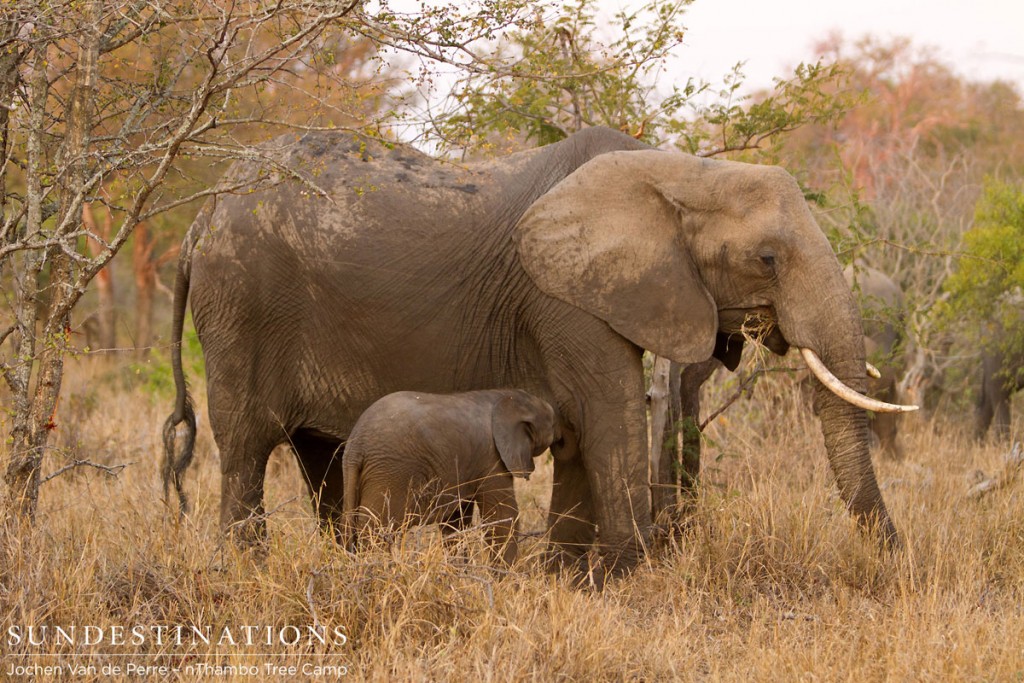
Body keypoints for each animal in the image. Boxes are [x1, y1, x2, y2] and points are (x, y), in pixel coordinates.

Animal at [342, 389, 552, 565]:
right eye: (550, 423)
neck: (507, 395)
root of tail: (356, 446)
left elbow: (456, 522)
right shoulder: (492, 457)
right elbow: (502, 516)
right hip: (391, 472)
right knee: (377, 529)